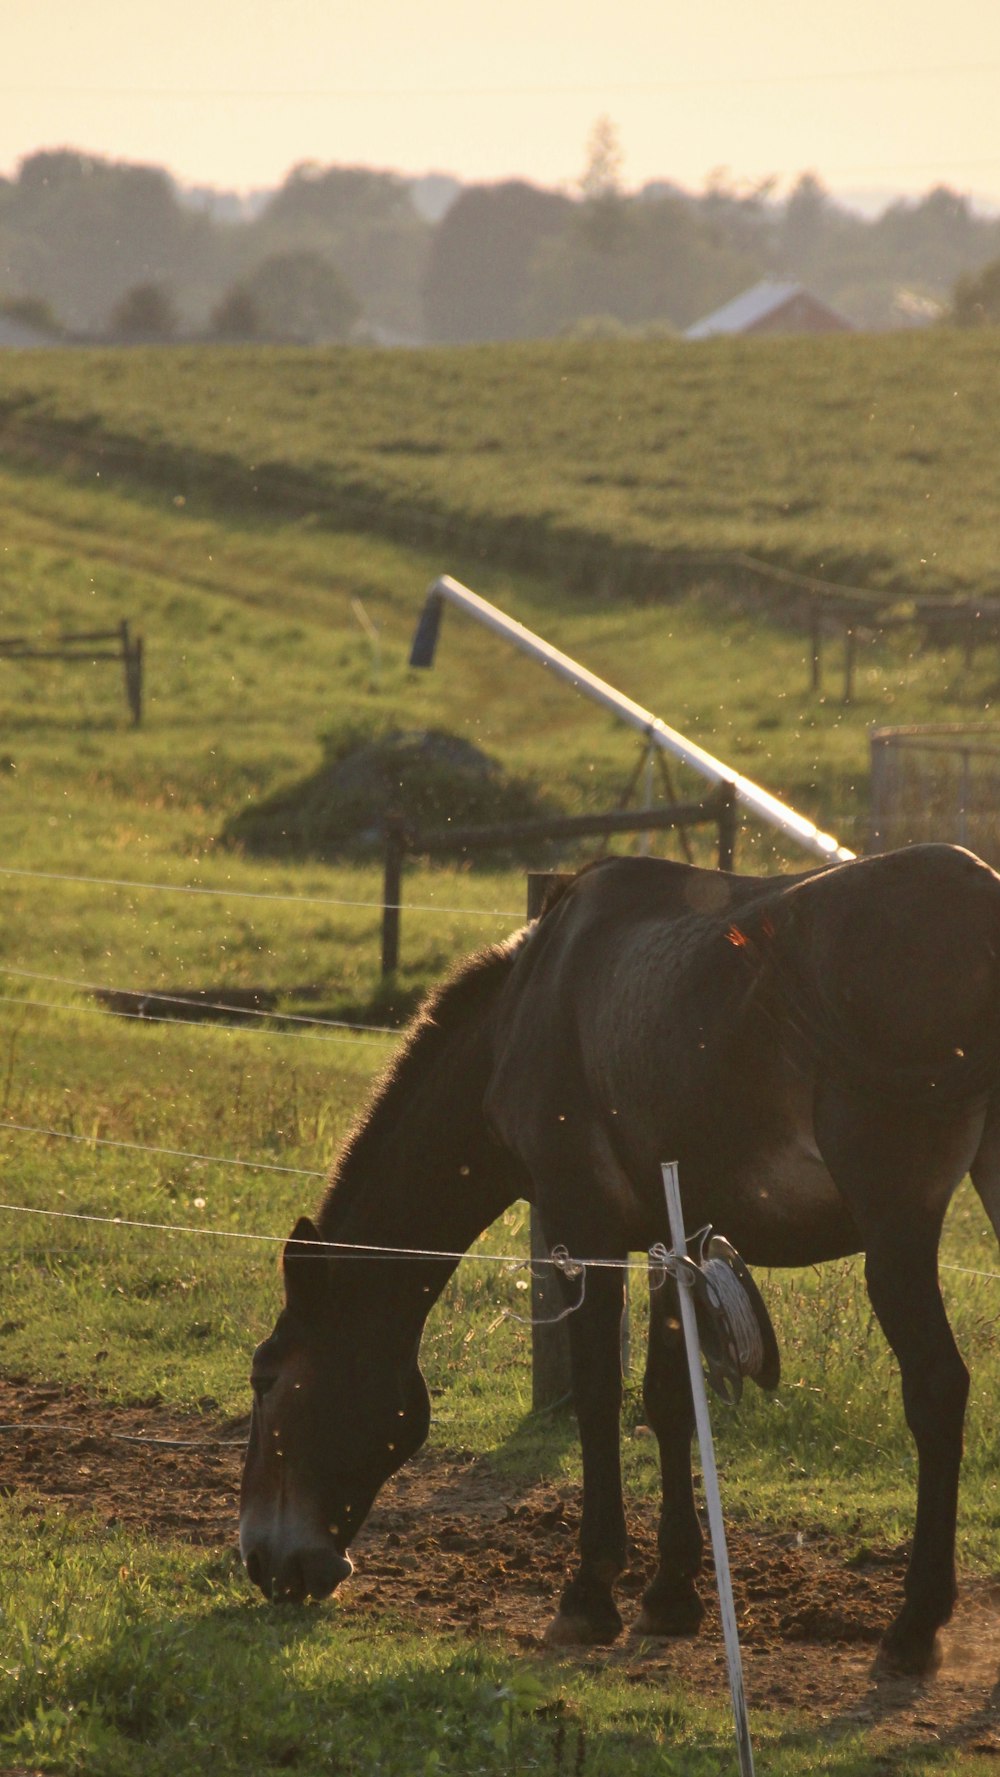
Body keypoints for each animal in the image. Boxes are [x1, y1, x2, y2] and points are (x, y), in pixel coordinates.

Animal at [239, 845, 1000, 1677]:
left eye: (266, 1379)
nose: (259, 1560)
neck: (524, 1007)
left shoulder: (586, 1229)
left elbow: (600, 1395)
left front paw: (591, 1589)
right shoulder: (678, 1240)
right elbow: (669, 1401)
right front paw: (671, 1591)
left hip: (896, 1229)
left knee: (936, 1389)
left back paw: (915, 1623)